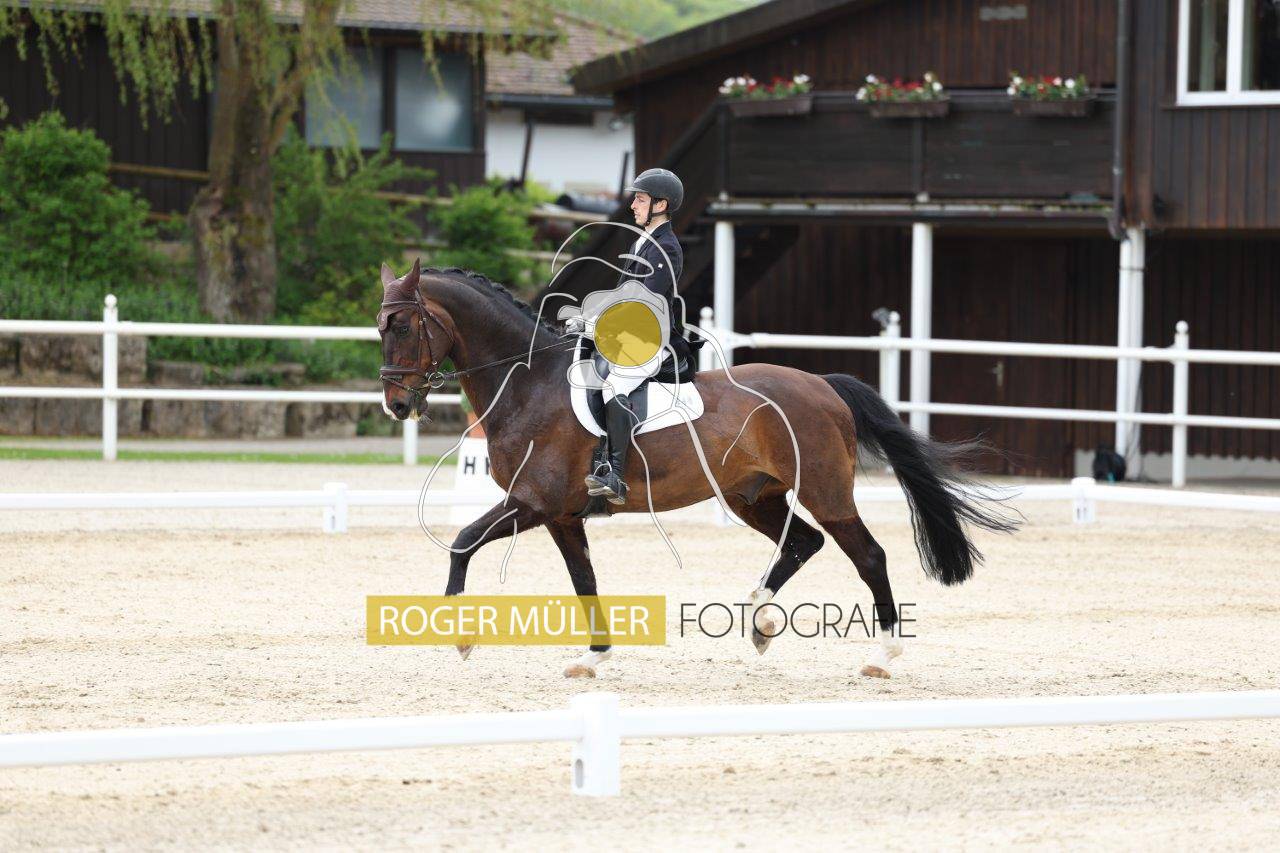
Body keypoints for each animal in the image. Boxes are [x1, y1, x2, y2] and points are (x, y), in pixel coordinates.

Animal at [377, 259, 1017, 679]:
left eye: (401, 326)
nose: (398, 406)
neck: (530, 383)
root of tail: (823, 385)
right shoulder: (560, 515)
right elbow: (583, 580)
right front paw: (593, 656)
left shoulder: (535, 504)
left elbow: (462, 541)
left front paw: (461, 637)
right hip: (751, 496)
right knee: (802, 543)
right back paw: (759, 621)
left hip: (825, 491)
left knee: (868, 556)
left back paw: (880, 656)